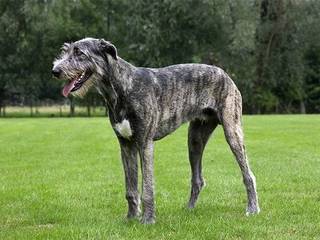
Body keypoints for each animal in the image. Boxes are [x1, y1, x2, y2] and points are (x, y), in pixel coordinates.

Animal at [52, 37, 260, 223]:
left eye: (79, 53)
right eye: (65, 51)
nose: (55, 71)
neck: (123, 87)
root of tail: (225, 74)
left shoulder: (145, 143)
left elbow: (147, 187)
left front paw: (148, 219)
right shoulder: (126, 144)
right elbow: (131, 188)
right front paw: (131, 218)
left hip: (232, 131)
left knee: (248, 174)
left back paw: (252, 208)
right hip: (195, 139)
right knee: (197, 179)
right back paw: (189, 209)